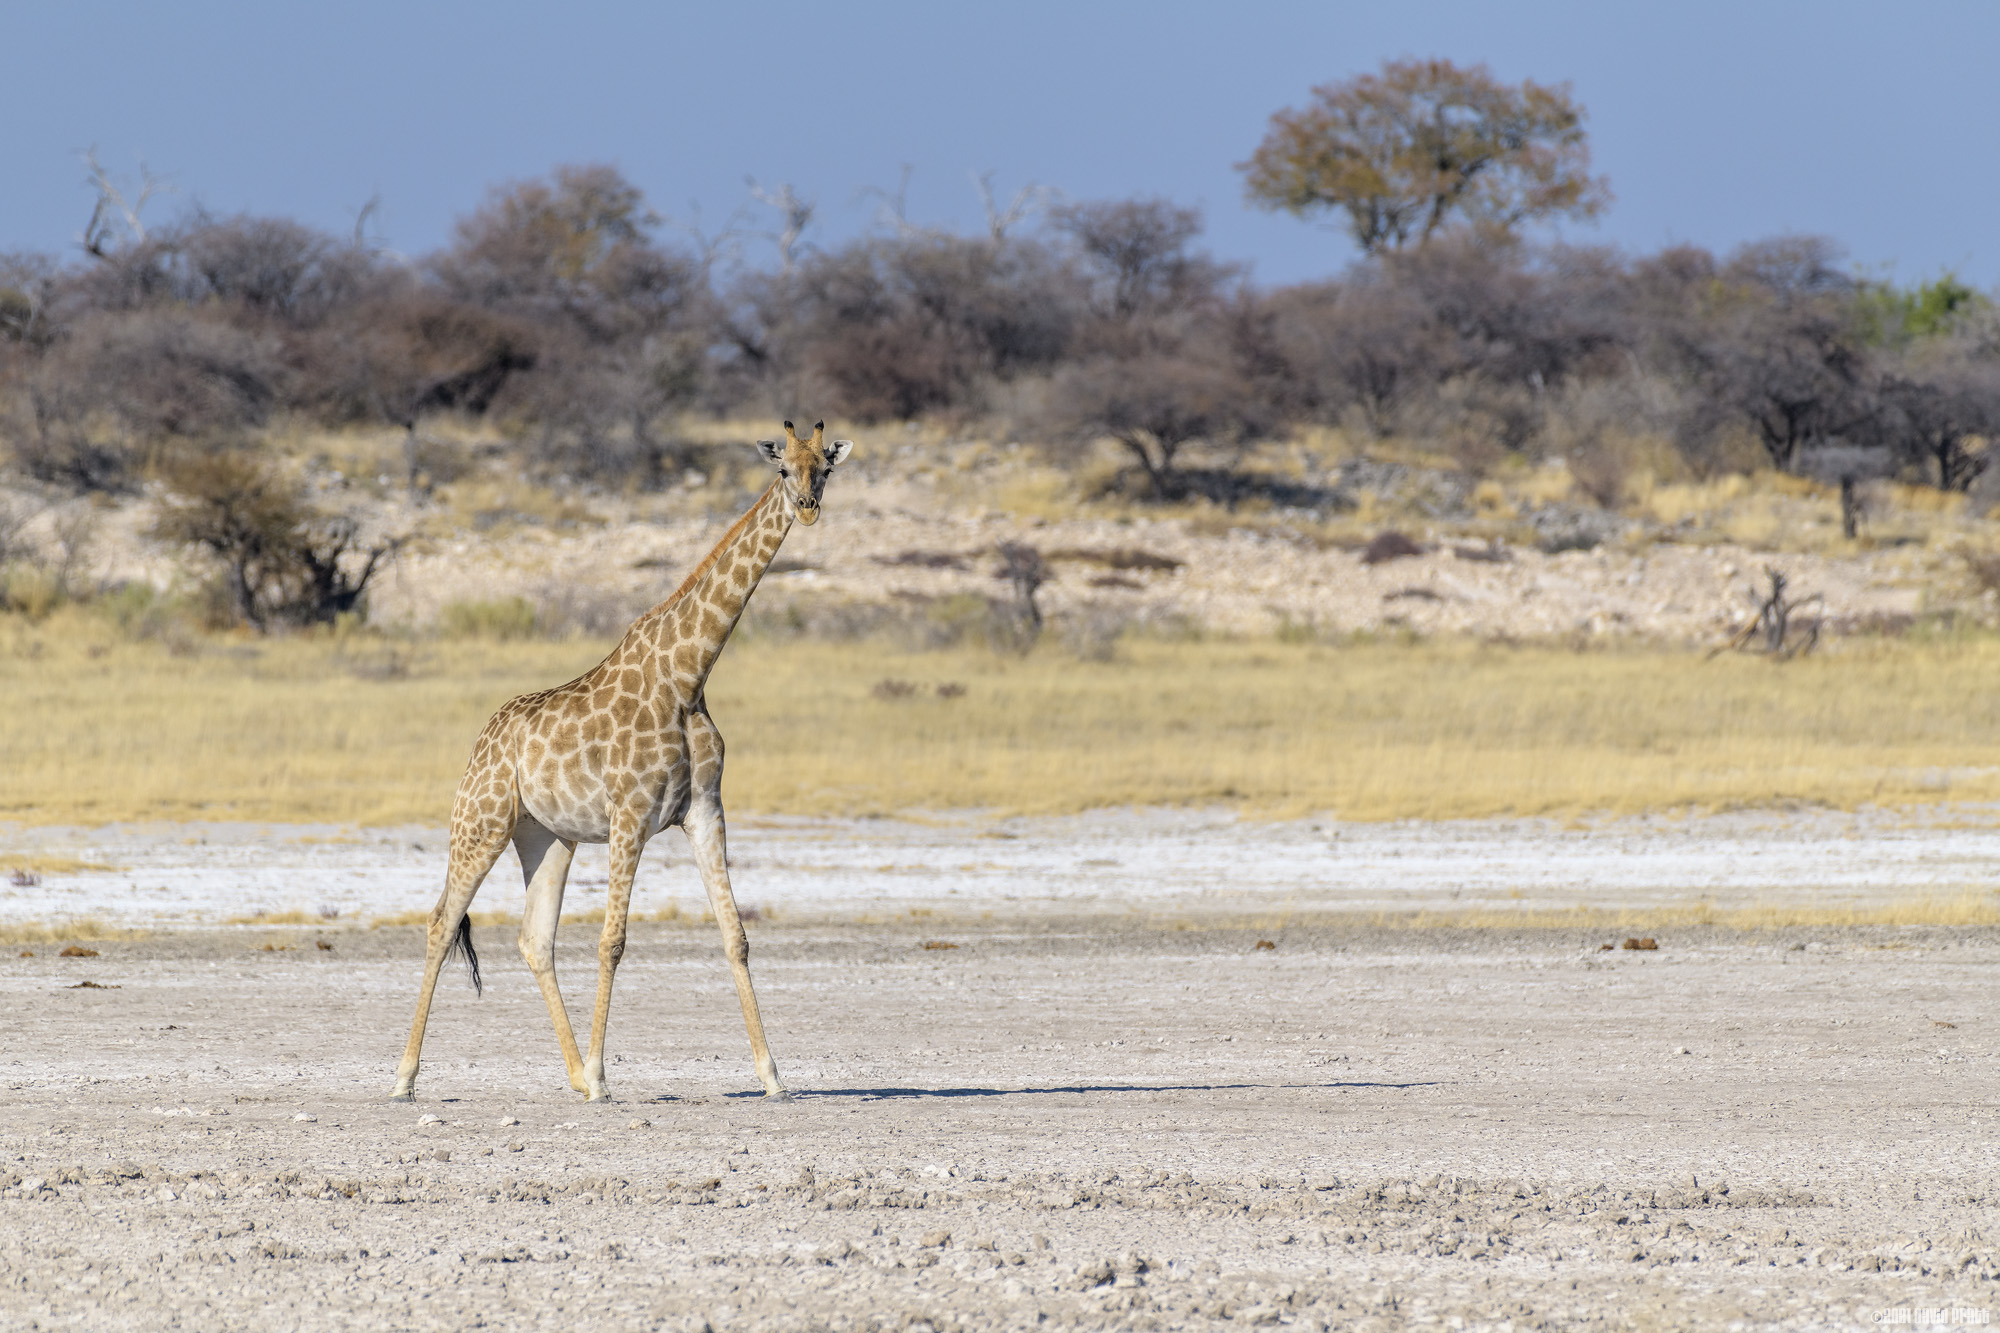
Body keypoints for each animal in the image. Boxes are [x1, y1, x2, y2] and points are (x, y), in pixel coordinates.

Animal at [390, 420, 854, 1103]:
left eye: (825, 466)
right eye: (781, 469)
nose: (808, 507)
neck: (688, 676)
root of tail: (484, 738)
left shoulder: (705, 811)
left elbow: (736, 937)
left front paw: (773, 1077)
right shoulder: (630, 813)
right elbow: (613, 942)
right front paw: (605, 1076)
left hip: (546, 836)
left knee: (535, 939)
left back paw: (574, 1077)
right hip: (480, 821)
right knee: (442, 922)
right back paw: (406, 1078)